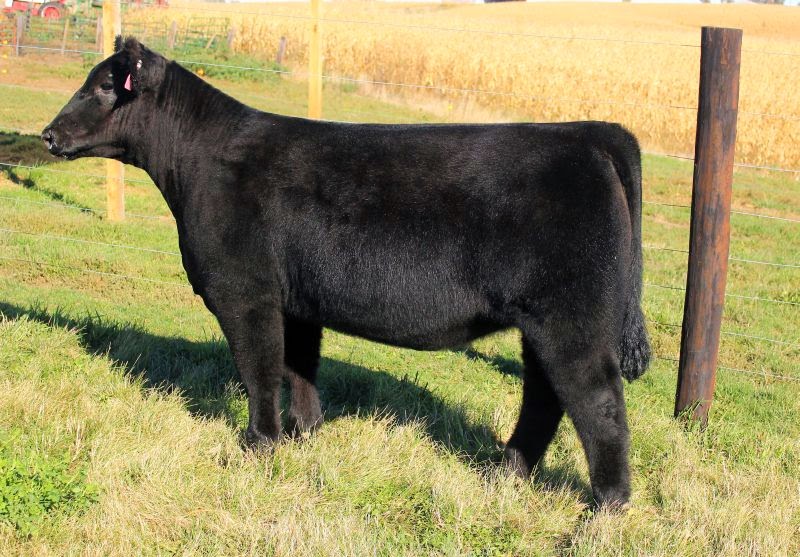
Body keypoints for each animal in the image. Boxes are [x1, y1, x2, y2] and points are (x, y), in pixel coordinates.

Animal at [42, 37, 650, 508]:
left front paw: (259, 444)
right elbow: (299, 367)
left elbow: (259, 370)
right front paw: (304, 436)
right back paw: (505, 473)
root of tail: (589, 133)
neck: (197, 164)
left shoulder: (244, 291)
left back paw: (605, 506)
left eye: (104, 87)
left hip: (571, 321)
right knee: (545, 397)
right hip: (543, 323)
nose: (48, 134)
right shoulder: (296, 300)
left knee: (599, 403)